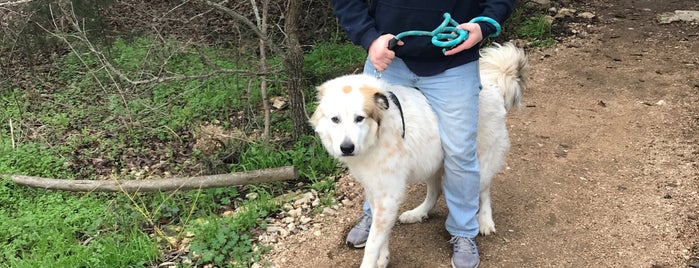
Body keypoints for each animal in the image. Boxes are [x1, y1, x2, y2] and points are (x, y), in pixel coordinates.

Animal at [308, 43, 528, 266]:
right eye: (335, 119)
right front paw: (383, 257)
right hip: (430, 162)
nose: (347, 147)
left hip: (477, 160)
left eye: (359, 118)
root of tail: (491, 84)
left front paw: (373, 261)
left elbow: (372, 244)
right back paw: (418, 214)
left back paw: (484, 221)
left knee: (482, 191)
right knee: (436, 191)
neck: (379, 133)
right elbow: (380, 233)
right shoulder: (376, 190)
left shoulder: (389, 194)